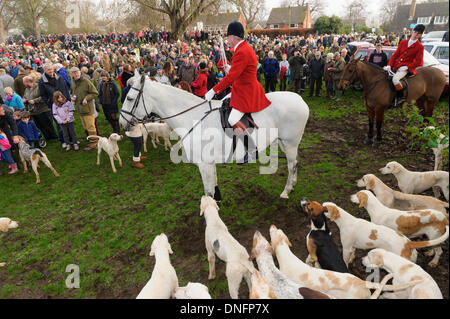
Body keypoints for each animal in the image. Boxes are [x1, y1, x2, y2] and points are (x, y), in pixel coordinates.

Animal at [119, 73, 310, 200]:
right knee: (295, 164)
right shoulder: (210, 164)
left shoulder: (204, 165)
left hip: (290, 143)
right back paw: (292, 185)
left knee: (292, 165)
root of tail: (300, 99)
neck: (192, 117)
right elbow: (214, 189)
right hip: (284, 142)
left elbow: (209, 193)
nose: (121, 124)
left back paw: (286, 191)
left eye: (129, 98)